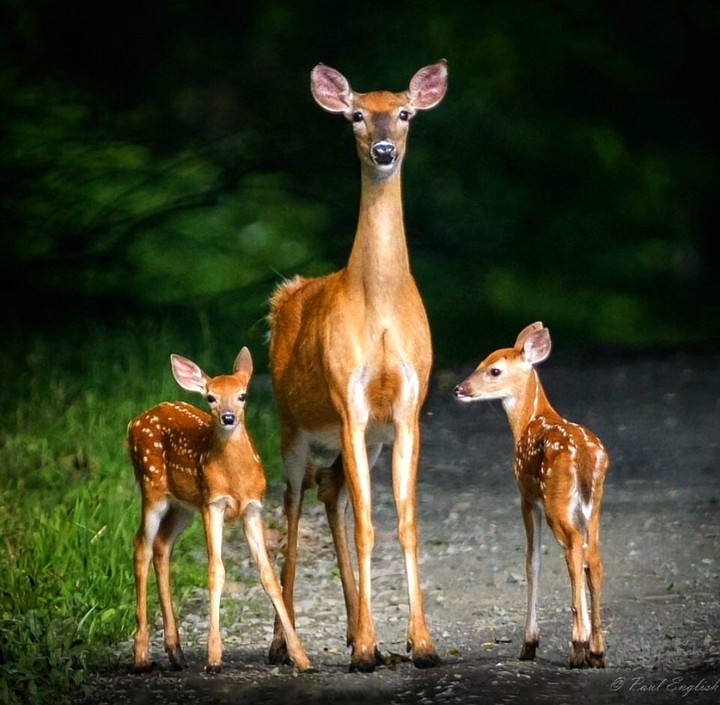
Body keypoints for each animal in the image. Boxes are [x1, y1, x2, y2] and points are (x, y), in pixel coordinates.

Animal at [127, 347, 312, 674]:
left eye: (242, 395)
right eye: (211, 397)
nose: (227, 418)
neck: (235, 479)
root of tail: (133, 423)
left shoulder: (252, 508)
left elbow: (268, 575)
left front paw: (301, 657)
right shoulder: (212, 503)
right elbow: (216, 570)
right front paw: (213, 656)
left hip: (182, 506)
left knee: (161, 546)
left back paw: (176, 653)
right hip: (152, 489)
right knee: (141, 548)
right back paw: (141, 656)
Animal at [266, 60, 448, 673]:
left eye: (406, 112)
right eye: (355, 116)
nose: (385, 150)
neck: (381, 305)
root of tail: (286, 297)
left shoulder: (406, 409)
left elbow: (406, 523)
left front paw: (420, 644)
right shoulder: (349, 401)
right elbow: (370, 524)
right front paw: (370, 647)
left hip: (365, 441)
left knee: (331, 492)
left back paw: (349, 630)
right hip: (291, 424)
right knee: (292, 504)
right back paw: (283, 643)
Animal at [453, 322, 607, 668]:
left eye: (494, 370)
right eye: (479, 362)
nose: (459, 389)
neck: (528, 421)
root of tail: (585, 457)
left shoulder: (526, 496)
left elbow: (532, 561)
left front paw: (529, 643)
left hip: (556, 500)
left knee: (574, 549)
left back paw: (578, 645)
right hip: (594, 505)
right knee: (593, 557)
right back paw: (597, 650)